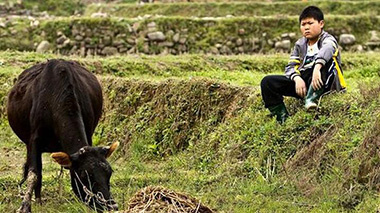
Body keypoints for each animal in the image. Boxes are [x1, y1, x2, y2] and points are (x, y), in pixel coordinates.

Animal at [7, 59, 119, 212]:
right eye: (84, 175)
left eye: (109, 172)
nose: (110, 205)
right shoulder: (34, 141)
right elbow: (33, 174)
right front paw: (25, 206)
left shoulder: (89, 133)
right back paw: (38, 200)